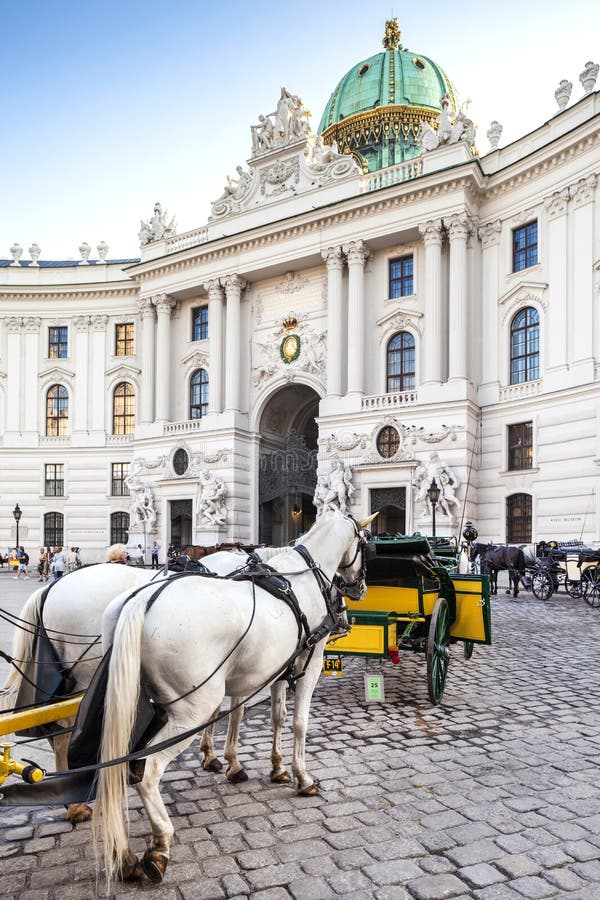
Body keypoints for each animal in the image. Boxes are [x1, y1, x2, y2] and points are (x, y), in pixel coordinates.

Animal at [95, 512, 368, 884]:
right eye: (366, 544)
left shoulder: (275, 667)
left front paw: (274, 767)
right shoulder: (307, 664)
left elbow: (274, 717)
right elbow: (299, 722)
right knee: (147, 769)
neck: (304, 573)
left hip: (128, 707)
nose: (358, 589)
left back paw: (124, 857)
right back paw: (159, 845)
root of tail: (142, 602)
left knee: (118, 769)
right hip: (190, 711)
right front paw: (302, 777)